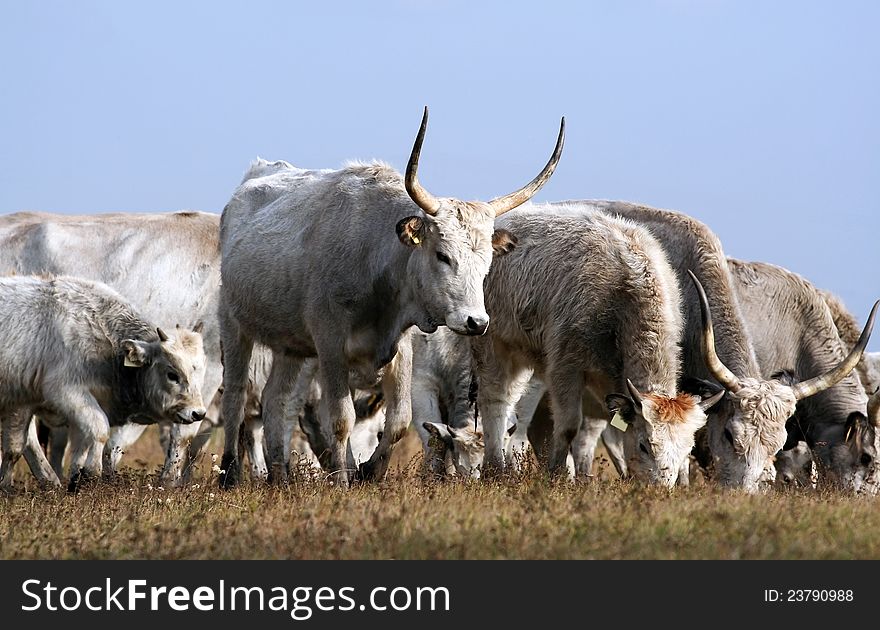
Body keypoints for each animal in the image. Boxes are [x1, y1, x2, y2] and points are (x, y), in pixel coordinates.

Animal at [0, 274, 206, 492]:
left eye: (201, 371)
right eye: (172, 374)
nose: (198, 413)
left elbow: (82, 443)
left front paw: (77, 478)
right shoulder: (61, 393)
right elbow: (99, 430)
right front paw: (91, 473)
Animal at [217, 110, 568, 488]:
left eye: (487, 260)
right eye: (442, 255)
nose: (476, 322)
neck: (375, 254)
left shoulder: (401, 348)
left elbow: (399, 420)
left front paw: (369, 471)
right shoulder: (330, 345)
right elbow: (339, 418)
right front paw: (342, 479)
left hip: (290, 346)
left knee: (275, 400)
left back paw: (280, 477)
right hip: (233, 324)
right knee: (235, 395)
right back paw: (230, 474)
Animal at [468, 209, 720, 488]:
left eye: (687, 451)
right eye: (644, 446)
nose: (659, 490)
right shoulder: (565, 367)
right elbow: (568, 426)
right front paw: (556, 476)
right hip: (491, 343)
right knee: (495, 400)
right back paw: (494, 469)